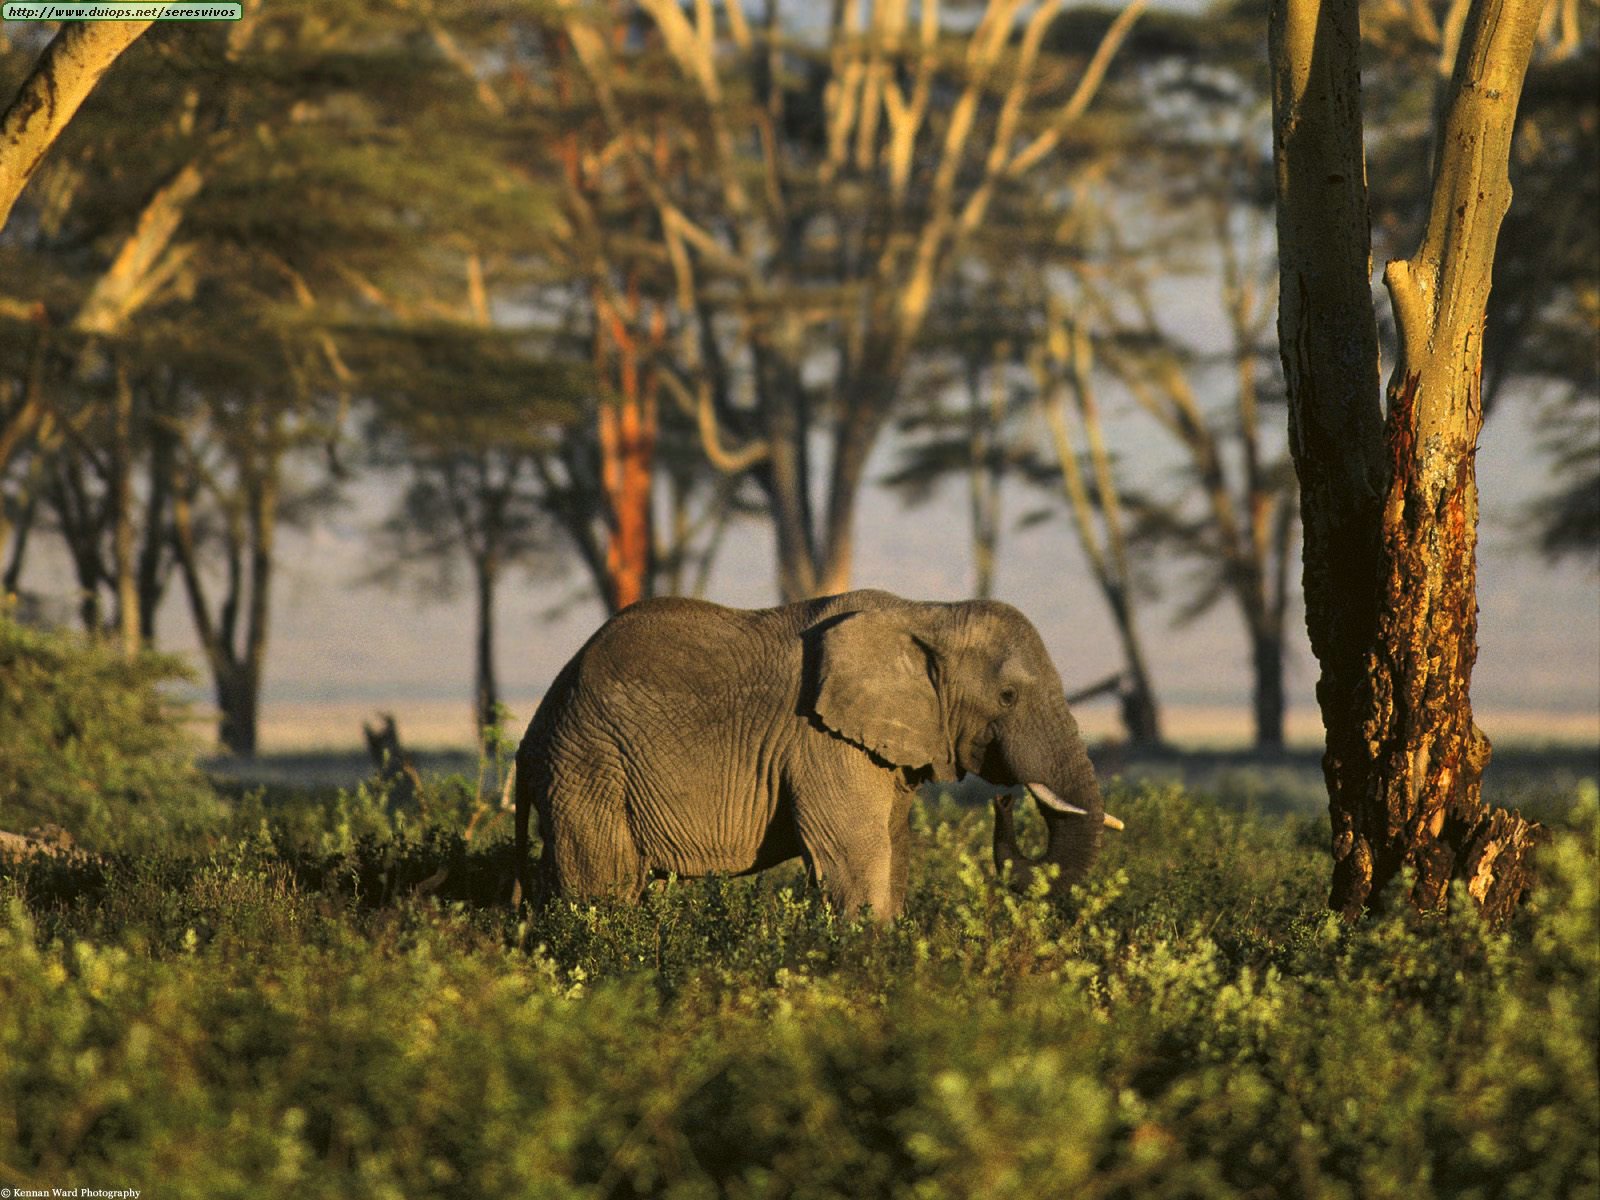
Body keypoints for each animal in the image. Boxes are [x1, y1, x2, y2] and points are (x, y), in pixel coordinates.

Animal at [518, 592, 1120, 921]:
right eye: (1008, 696)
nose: (1003, 802)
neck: (928, 615)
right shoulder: (822, 741)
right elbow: (858, 861)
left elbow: (893, 855)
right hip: (589, 762)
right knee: (604, 888)